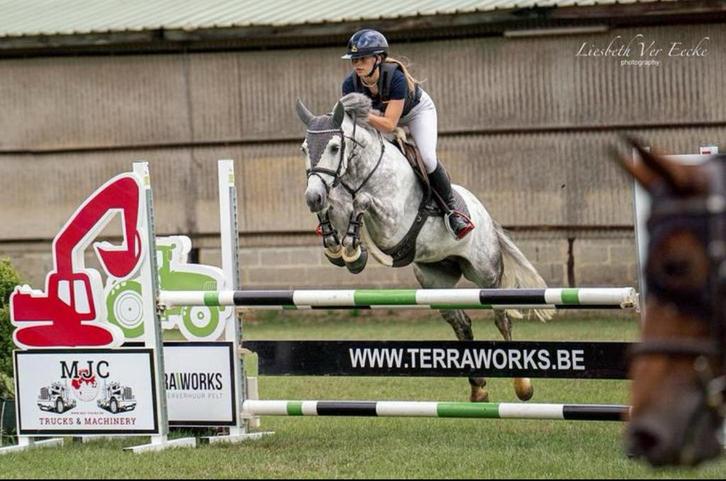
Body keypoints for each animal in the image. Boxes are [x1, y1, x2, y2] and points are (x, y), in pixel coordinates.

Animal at [295, 93, 553, 402]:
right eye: (304, 148)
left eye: (334, 147)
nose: (312, 197)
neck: (360, 174)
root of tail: (485, 216)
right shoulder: (338, 201)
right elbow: (335, 207)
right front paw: (338, 247)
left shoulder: (392, 225)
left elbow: (362, 202)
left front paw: (353, 251)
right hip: (434, 279)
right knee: (461, 322)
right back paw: (478, 389)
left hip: (486, 275)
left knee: (501, 319)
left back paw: (523, 385)